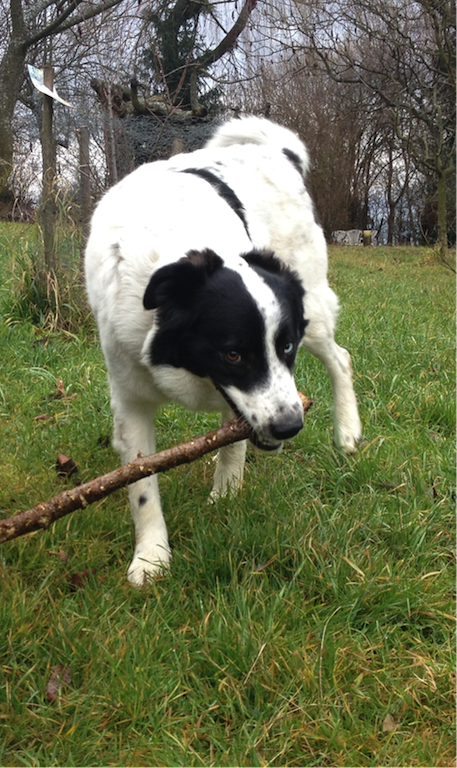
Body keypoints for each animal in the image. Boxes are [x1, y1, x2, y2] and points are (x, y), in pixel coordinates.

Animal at [85, 115, 362, 584]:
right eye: (232, 354)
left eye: (286, 346)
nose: (290, 426)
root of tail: (275, 150)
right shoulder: (130, 396)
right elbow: (141, 481)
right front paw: (152, 556)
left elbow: (232, 442)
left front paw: (227, 495)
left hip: (314, 304)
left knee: (340, 358)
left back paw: (347, 431)